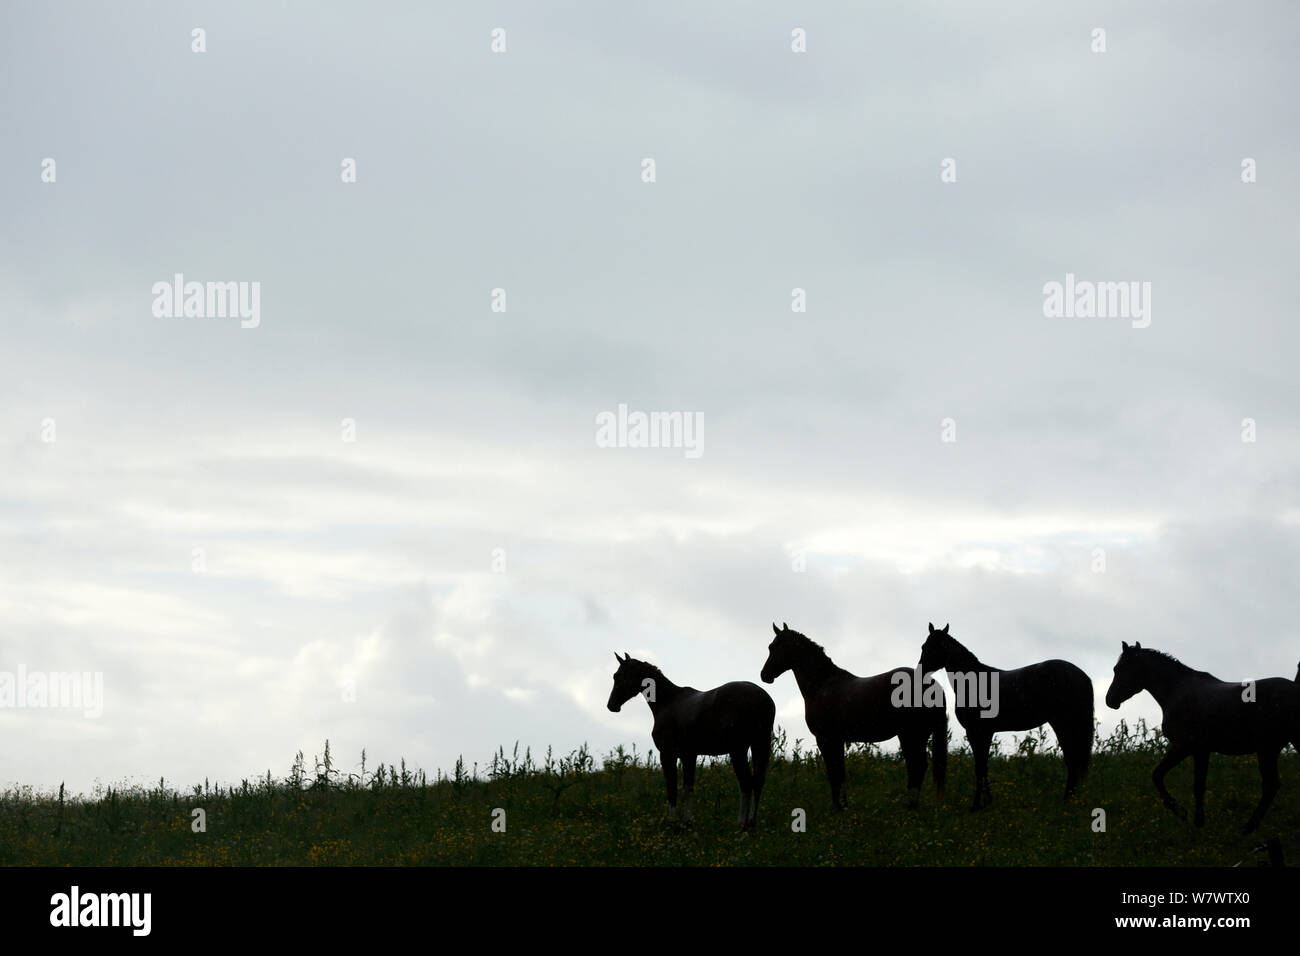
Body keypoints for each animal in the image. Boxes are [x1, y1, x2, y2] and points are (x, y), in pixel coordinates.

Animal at [605, 650, 774, 832]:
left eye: (617, 676)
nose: (611, 705)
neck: (667, 702)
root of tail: (761, 698)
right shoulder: (689, 756)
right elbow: (688, 787)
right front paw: (687, 821)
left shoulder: (668, 755)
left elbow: (672, 788)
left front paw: (672, 822)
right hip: (759, 746)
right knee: (757, 782)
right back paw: (751, 824)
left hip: (738, 751)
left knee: (746, 783)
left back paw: (741, 824)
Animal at [759, 624, 951, 811]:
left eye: (773, 647)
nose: (764, 675)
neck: (822, 684)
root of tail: (932, 685)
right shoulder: (837, 739)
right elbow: (840, 771)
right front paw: (843, 804)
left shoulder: (826, 739)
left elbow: (834, 771)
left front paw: (838, 806)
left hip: (911, 735)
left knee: (916, 765)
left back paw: (909, 804)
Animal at [920, 624, 1092, 811]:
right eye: (924, 646)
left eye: (936, 647)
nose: (920, 671)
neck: (973, 681)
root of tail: (1082, 675)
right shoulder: (985, 733)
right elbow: (983, 766)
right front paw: (987, 802)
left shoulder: (976, 731)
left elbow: (979, 767)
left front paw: (976, 805)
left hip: (1063, 724)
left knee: (1072, 761)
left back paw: (1067, 801)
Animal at [1107, 647, 1300, 832]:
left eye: (1119, 668)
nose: (1110, 700)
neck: (1177, 691)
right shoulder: (1200, 751)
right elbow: (1189, 782)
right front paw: (1195, 819)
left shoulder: (1186, 747)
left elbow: (1166, 777)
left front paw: (1185, 814)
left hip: (1267, 749)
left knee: (1270, 785)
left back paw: (1248, 827)